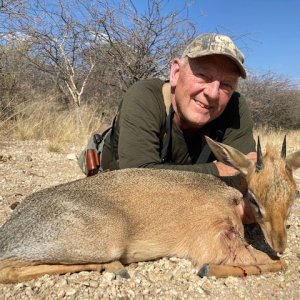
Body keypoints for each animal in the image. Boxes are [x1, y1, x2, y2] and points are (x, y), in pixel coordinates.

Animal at [0, 137, 298, 282]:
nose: (280, 243)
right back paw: (115, 267)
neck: (229, 193)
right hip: (105, 241)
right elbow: (276, 264)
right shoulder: (215, 243)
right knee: (7, 270)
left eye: (294, 195)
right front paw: (208, 271)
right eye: (254, 199)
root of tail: (9, 230)